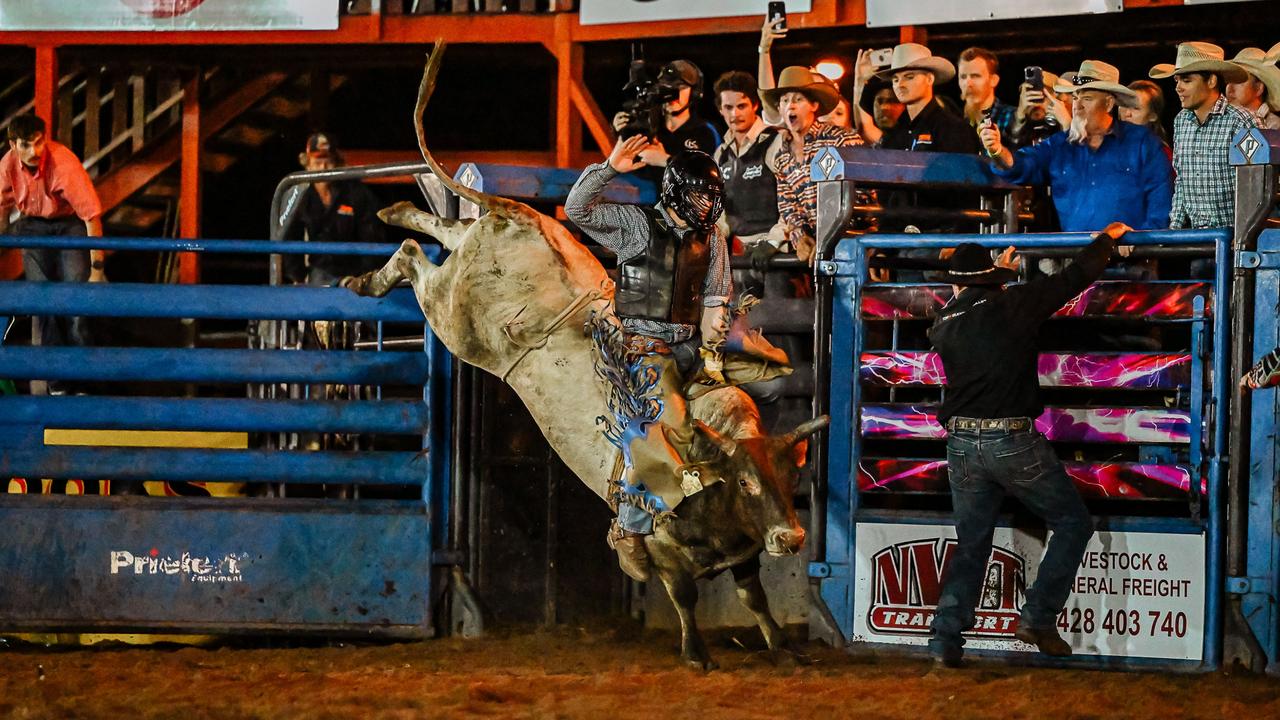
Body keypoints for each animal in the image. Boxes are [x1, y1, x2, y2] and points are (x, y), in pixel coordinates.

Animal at [340, 40, 824, 666]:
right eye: (746, 483)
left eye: (789, 479)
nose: (792, 537)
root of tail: (514, 211)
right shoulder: (663, 546)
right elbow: (685, 596)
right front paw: (696, 653)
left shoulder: (741, 553)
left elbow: (755, 596)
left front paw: (783, 649)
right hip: (455, 320)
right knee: (413, 258)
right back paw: (369, 273)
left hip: (467, 262)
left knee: (441, 229)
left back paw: (392, 212)